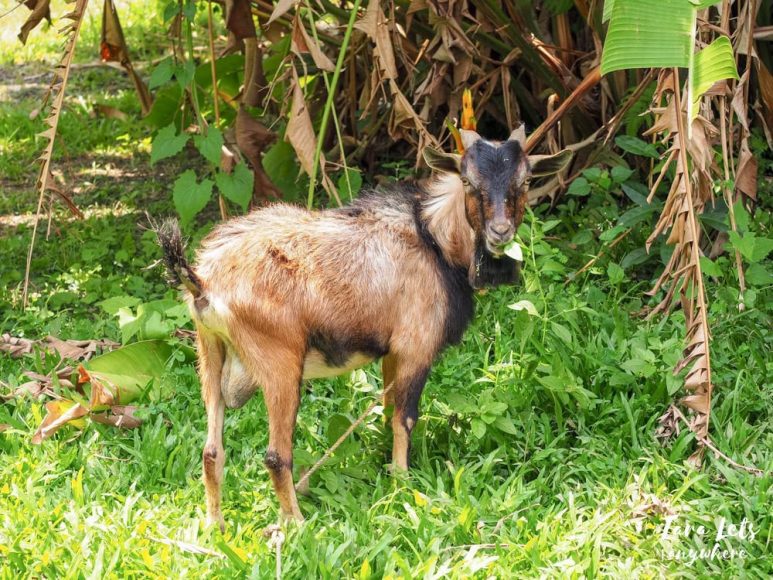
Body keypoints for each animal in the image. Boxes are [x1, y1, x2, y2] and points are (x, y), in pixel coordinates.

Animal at [157, 129, 570, 527]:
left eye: (526, 179)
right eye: (468, 180)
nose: (500, 231)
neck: (434, 241)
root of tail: (204, 281)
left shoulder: (392, 352)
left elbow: (388, 412)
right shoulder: (415, 346)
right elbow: (405, 418)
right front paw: (403, 486)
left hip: (209, 352)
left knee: (211, 450)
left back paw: (215, 526)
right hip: (279, 363)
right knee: (275, 456)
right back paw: (297, 524)